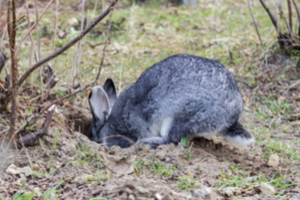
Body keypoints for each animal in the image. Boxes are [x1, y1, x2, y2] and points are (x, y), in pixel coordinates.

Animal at [88, 54, 254, 148]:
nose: (94, 141)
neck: (108, 125)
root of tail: (231, 117)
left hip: (179, 116)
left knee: (172, 140)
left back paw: (146, 143)